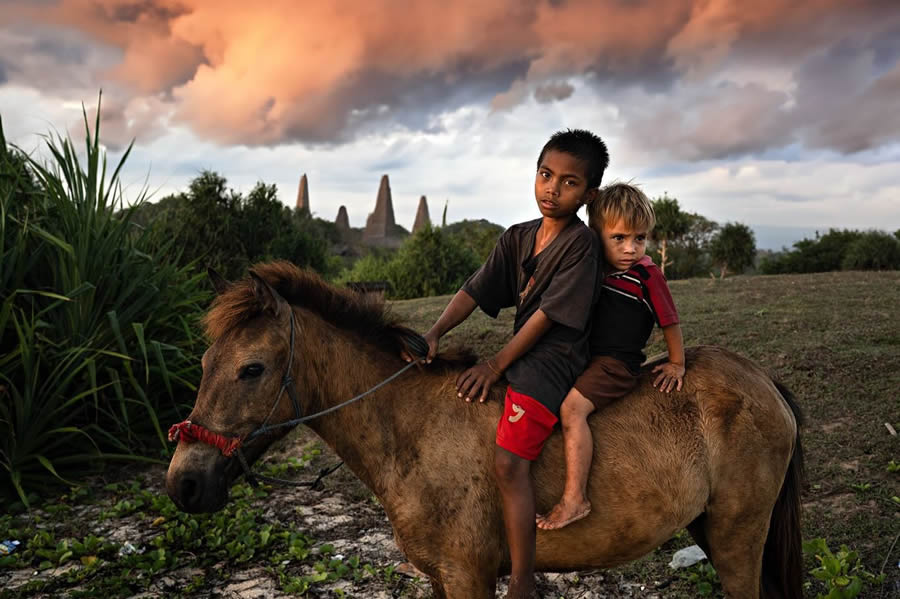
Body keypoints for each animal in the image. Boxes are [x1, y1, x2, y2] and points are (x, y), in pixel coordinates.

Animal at [165, 264, 804, 599]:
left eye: (252, 369)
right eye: (204, 363)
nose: (183, 483)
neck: (413, 429)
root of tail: (760, 378)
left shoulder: (469, 575)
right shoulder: (443, 579)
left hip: (737, 535)